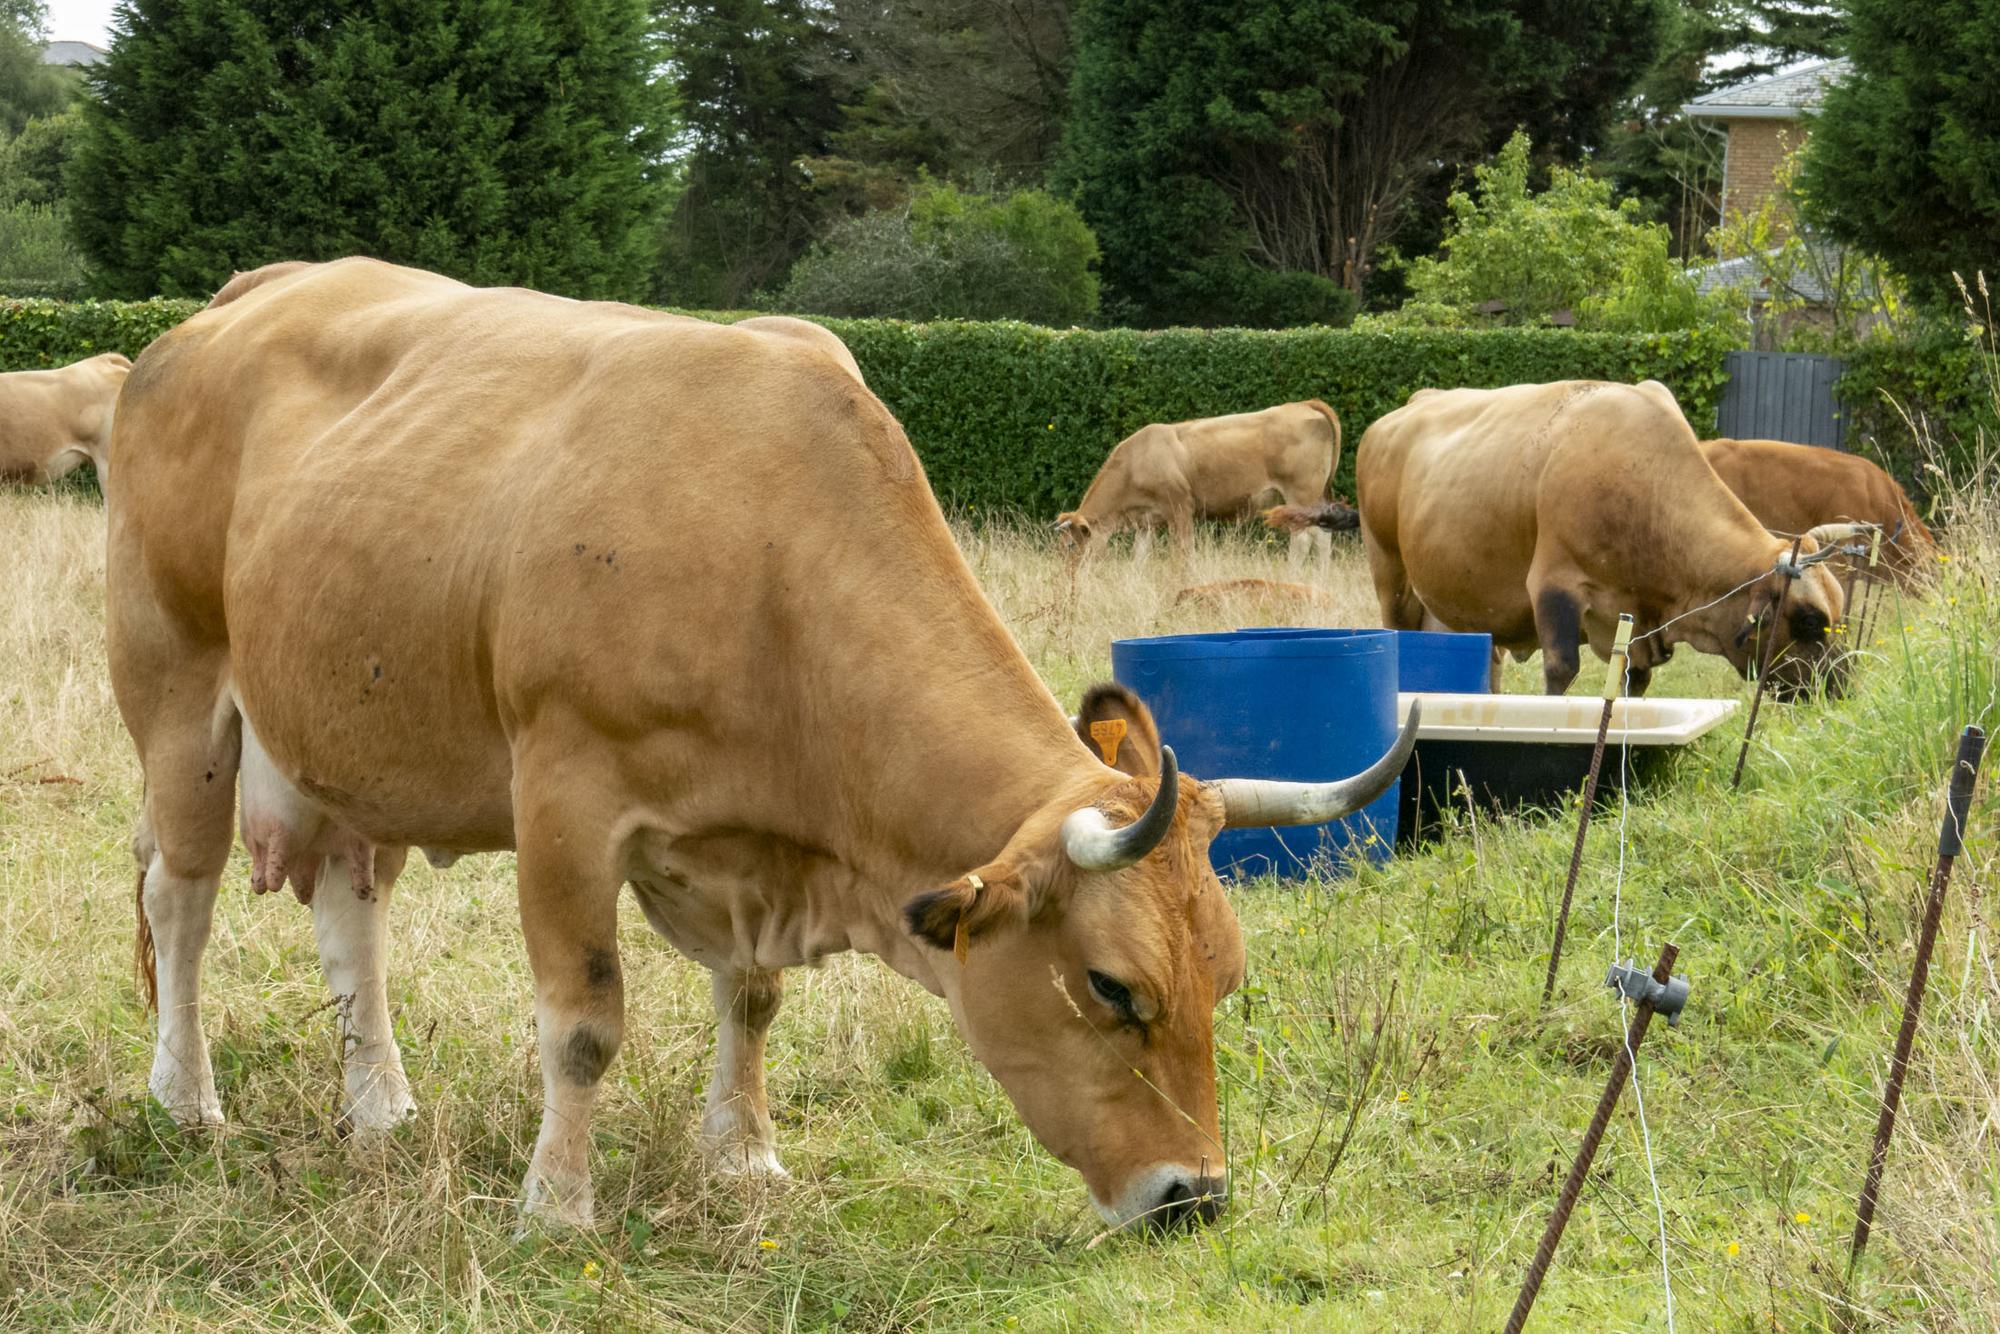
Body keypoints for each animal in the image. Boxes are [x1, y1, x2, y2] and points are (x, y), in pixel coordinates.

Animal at [1048, 396, 1344, 564]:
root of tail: (1303, 405)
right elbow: (1138, 559)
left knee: (1303, 539)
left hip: (1300, 494)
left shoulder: (1181, 508)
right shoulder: (1146, 521)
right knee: (1323, 536)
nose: (1069, 577)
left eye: (1071, 545)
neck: (1137, 460)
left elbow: (1184, 553)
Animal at [1360, 380, 1856, 700]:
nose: (1840, 687)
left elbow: (1634, 684)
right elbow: (1560, 672)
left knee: (1489, 662)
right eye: (1808, 620)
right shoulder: (1554, 588)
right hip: (1392, 581)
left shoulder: (1639, 630)